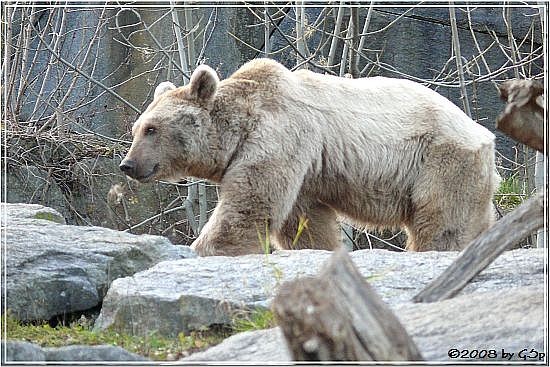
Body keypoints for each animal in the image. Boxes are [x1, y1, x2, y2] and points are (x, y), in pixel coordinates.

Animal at [123, 59, 502, 258]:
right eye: (136, 128)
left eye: (152, 129)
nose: (128, 165)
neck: (241, 124)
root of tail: (484, 135)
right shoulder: (306, 171)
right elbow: (303, 223)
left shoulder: (280, 135)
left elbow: (249, 204)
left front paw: (204, 249)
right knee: (473, 220)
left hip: (439, 160)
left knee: (442, 223)